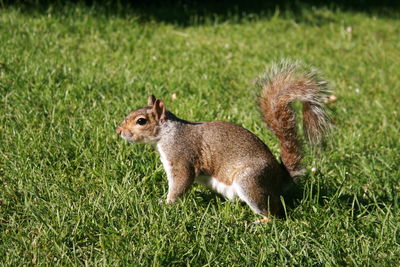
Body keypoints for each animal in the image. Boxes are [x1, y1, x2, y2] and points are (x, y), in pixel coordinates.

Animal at [116, 60, 332, 224]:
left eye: (141, 121)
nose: (118, 131)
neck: (168, 133)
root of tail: (279, 178)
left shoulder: (181, 156)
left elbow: (181, 182)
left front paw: (166, 204)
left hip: (250, 181)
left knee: (274, 212)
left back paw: (260, 222)